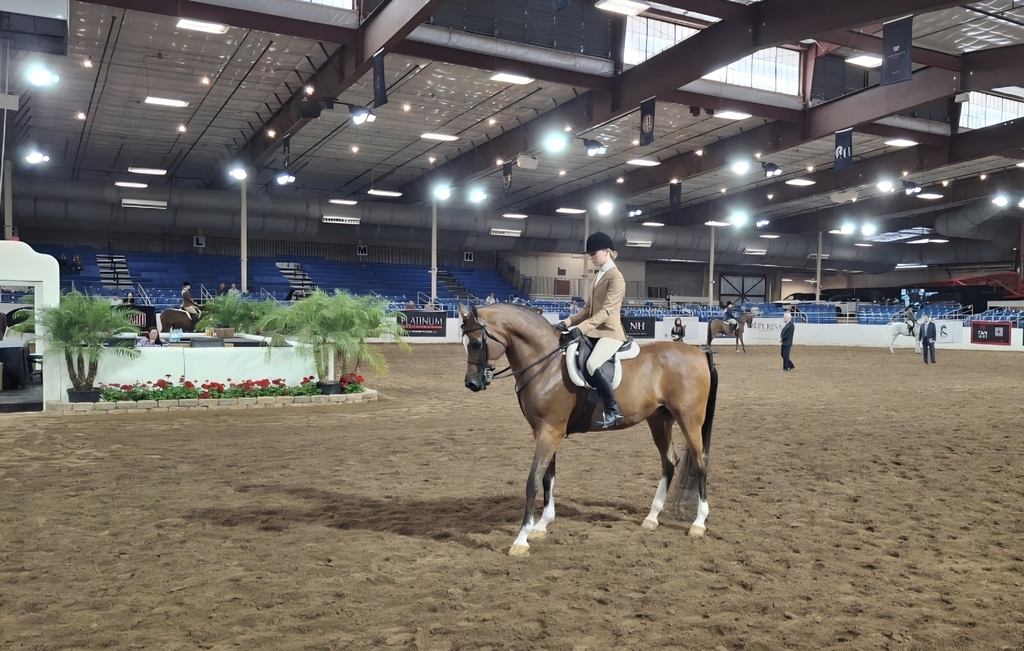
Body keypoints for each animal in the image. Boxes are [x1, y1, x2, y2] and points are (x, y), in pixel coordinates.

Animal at [458, 303, 718, 557]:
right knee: (669, 462)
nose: (471, 383)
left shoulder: (549, 431)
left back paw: (698, 524)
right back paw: (652, 518)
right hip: (659, 421)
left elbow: (533, 480)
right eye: (465, 343)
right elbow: (548, 477)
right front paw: (542, 526)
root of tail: (698, 352)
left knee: (701, 463)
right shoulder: (545, 431)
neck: (545, 363)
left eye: (476, 343)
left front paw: (521, 540)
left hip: (689, 419)